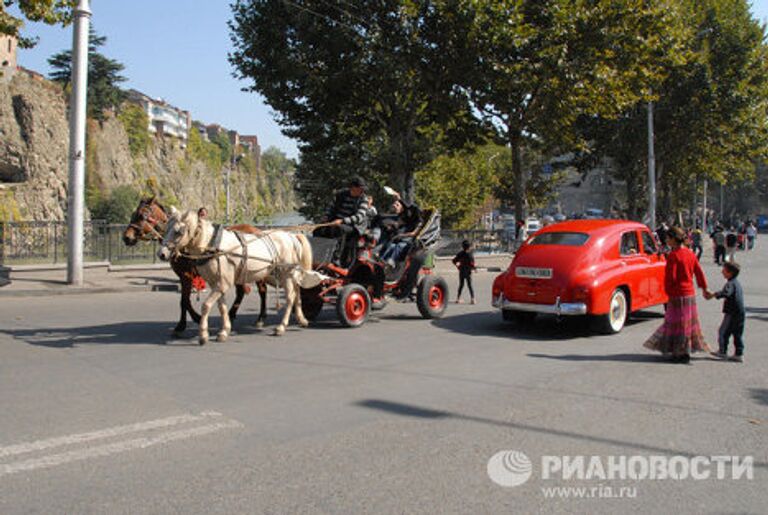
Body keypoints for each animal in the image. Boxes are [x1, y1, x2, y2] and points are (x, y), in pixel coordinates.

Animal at [158, 208, 322, 344]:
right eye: (166, 228)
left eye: (179, 231)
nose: (161, 254)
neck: (212, 246)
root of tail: (291, 236)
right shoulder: (216, 284)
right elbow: (221, 307)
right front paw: (224, 331)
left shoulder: (220, 283)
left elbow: (205, 305)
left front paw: (203, 334)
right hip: (288, 274)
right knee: (297, 292)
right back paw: (301, 319)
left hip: (285, 274)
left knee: (289, 297)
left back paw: (281, 326)